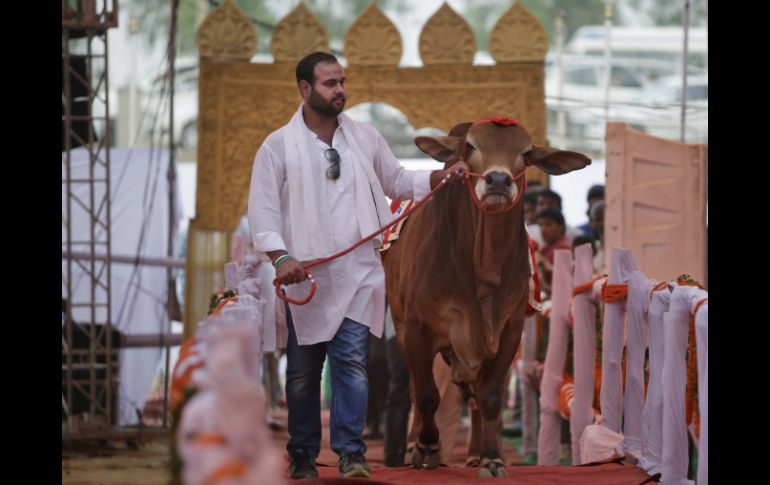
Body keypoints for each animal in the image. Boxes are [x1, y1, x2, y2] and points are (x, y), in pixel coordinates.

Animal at [382, 118, 588, 476]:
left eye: (526, 152)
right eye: (470, 146)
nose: (498, 180)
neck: (483, 264)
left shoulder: (509, 329)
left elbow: (489, 396)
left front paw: (492, 458)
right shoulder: (416, 328)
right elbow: (426, 395)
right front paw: (426, 446)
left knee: (475, 396)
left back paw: (476, 452)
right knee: (417, 390)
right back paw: (414, 446)